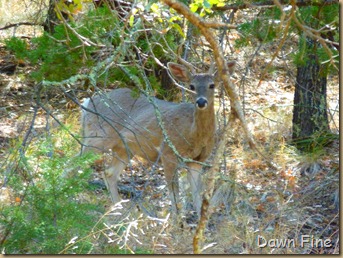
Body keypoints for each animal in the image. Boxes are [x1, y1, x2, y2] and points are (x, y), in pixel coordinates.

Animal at [80, 60, 236, 216]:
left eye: (212, 85)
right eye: (191, 86)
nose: (201, 102)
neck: (192, 134)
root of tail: (87, 102)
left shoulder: (198, 160)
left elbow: (197, 194)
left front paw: (199, 219)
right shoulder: (168, 153)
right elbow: (174, 193)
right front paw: (176, 219)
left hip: (124, 148)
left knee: (109, 173)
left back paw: (120, 211)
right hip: (99, 136)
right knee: (77, 162)